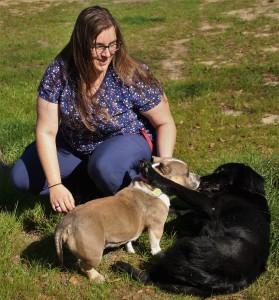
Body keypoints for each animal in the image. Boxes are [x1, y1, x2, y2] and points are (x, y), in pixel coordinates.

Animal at [54, 157, 200, 282]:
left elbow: (129, 239)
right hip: (93, 253)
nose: (199, 177)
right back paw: (96, 277)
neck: (149, 184)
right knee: (84, 266)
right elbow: (155, 244)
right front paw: (160, 254)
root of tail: (70, 219)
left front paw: (130, 248)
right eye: (187, 174)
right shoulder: (156, 226)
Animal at [113, 162, 272, 296]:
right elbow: (179, 208)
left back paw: (122, 266)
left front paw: (152, 173)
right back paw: (121, 267)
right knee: (151, 279)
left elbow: (177, 187)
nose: (201, 178)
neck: (244, 192)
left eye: (221, 171)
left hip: (185, 247)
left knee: (151, 276)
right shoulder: (196, 213)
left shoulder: (210, 204)